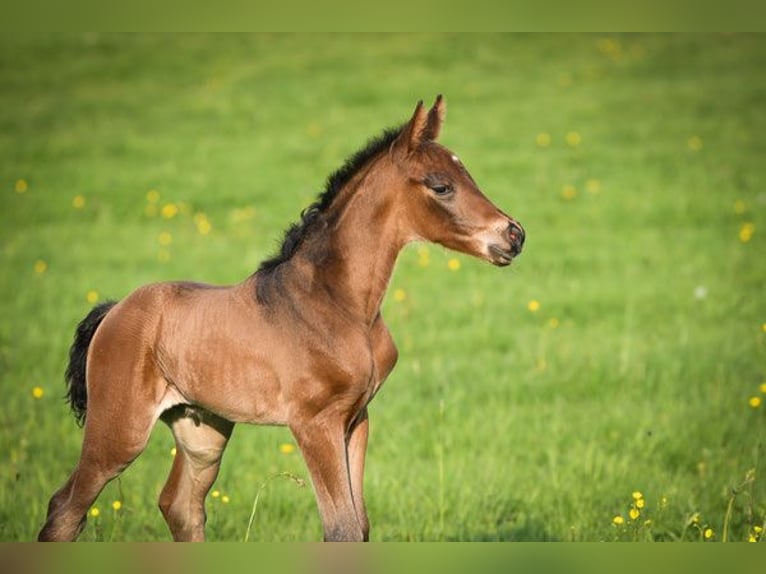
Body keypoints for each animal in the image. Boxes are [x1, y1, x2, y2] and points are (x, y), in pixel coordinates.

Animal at [38, 95, 525, 542]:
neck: (340, 304)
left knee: (180, 507)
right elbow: (343, 528)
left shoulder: (357, 420)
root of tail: (114, 310)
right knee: (66, 507)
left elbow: (361, 525)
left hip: (202, 431)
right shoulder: (314, 424)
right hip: (120, 429)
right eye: (441, 186)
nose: (514, 235)